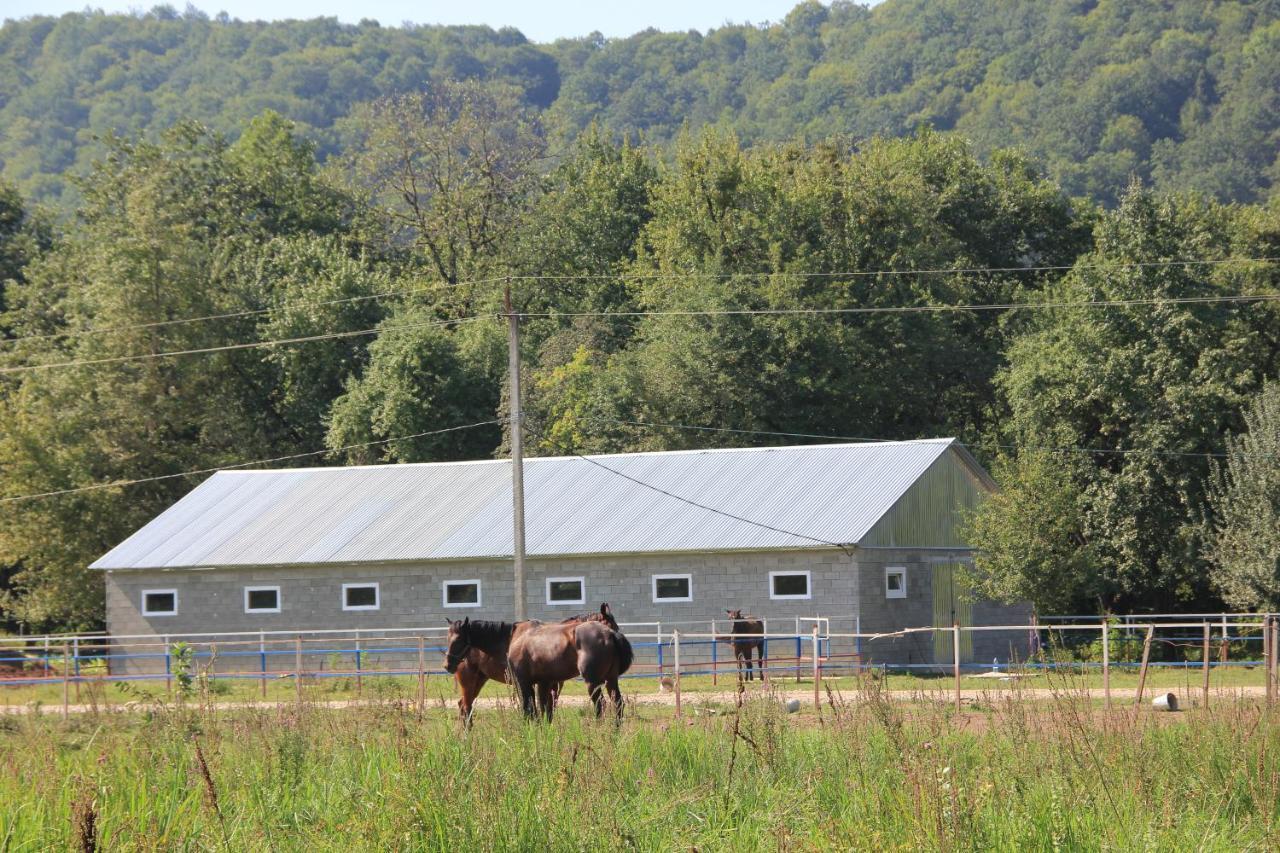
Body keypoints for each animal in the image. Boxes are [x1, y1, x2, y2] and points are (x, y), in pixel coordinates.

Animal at [504, 601, 634, 722]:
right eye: (613, 626)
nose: (616, 633)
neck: (521, 636)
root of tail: (609, 635)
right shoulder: (544, 683)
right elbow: (544, 709)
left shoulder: (523, 682)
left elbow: (530, 710)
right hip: (610, 679)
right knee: (617, 703)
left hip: (593, 682)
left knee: (600, 705)